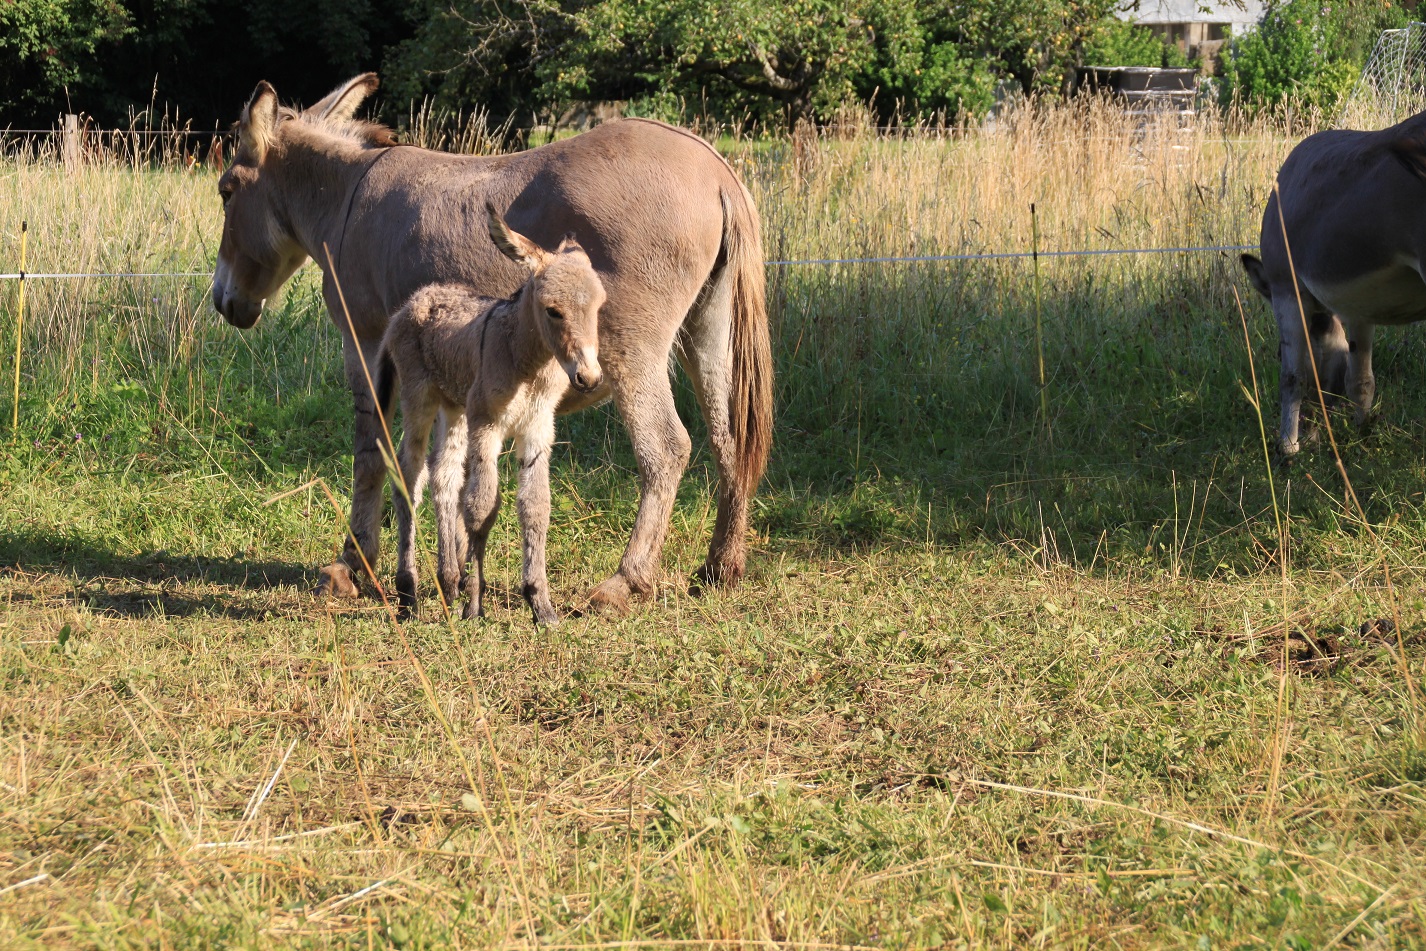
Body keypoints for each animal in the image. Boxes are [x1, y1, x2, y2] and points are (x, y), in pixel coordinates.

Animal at [382, 205, 604, 624]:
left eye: (599, 308)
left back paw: (448, 579)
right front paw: (474, 603)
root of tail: (417, 298)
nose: (589, 377)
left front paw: (540, 604)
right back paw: (408, 591)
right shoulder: (487, 425)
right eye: (553, 311)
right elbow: (482, 506)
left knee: (444, 474)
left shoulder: (538, 428)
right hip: (419, 397)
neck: (528, 363)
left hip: (454, 406)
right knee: (409, 474)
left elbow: (536, 506)